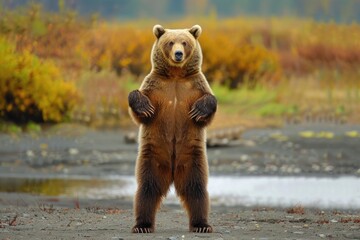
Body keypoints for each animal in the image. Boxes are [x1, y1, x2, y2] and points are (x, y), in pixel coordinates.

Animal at [129, 23, 217, 232]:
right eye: (170, 42)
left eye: (184, 42)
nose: (178, 54)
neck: (176, 76)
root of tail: (172, 172)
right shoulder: (154, 86)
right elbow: (139, 105)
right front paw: (144, 107)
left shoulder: (197, 85)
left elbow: (209, 101)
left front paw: (199, 110)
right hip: (152, 156)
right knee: (147, 189)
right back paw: (142, 225)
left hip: (193, 158)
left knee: (196, 189)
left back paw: (201, 224)